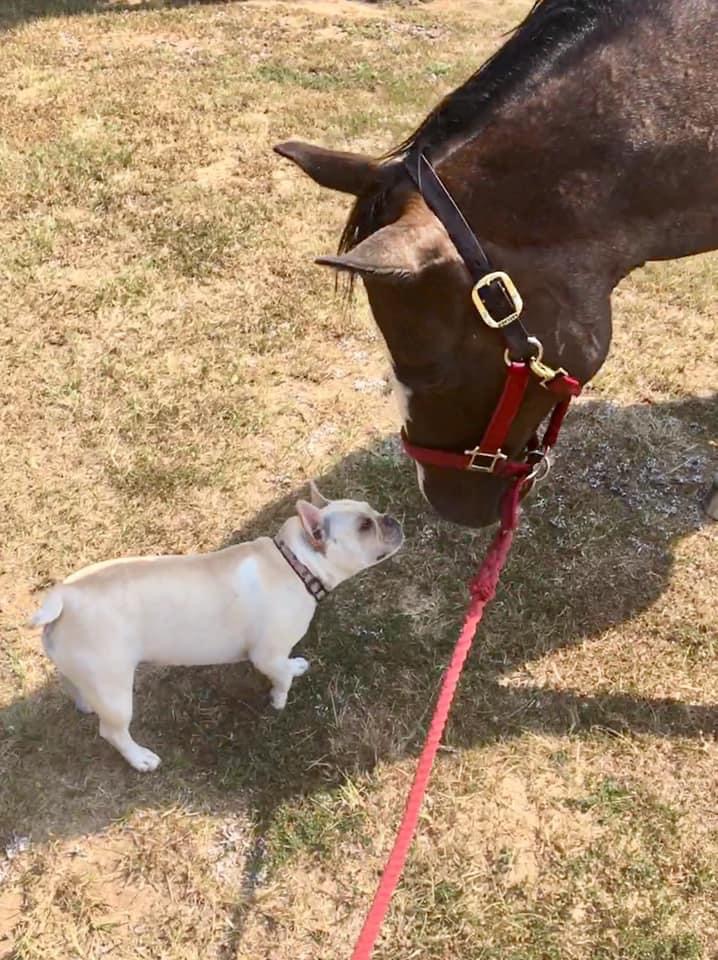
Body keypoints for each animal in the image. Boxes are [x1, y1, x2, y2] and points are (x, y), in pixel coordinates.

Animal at [31, 488, 404, 772]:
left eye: (371, 511)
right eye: (365, 526)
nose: (390, 517)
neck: (297, 563)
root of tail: (66, 596)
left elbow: (288, 667)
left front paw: (296, 667)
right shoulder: (266, 656)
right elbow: (281, 676)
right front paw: (279, 699)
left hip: (83, 672)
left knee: (73, 686)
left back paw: (84, 705)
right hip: (114, 688)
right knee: (113, 732)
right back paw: (140, 759)